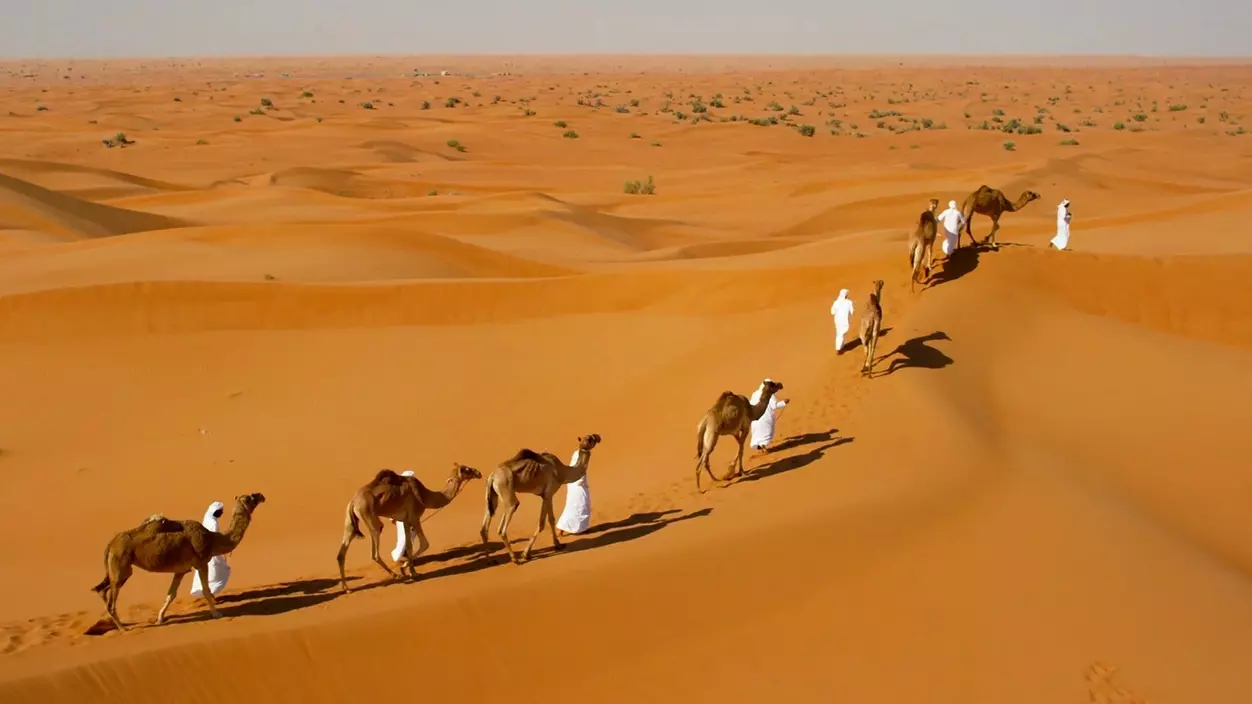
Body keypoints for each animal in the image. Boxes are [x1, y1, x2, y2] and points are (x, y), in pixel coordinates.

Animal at [92, 488, 269, 631]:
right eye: (251, 497)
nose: (261, 495)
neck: (213, 539)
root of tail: (111, 545)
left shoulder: (181, 570)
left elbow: (171, 594)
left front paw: (160, 618)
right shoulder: (201, 563)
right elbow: (205, 590)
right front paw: (216, 613)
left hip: (117, 568)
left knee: (102, 589)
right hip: (121, 566)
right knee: (111, 597)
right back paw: (123, 628)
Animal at [335, 460, 480, 591]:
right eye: (466, 469)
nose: (478, 472)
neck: (425, 496)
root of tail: (353, 502)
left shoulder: (405, 520)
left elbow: (409, 547)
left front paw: (413, 572)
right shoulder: (415, 518)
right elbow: (425, 544)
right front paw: (405, 568)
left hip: (350, 521)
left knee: (342, 552)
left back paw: (346, 588)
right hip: (370, 518)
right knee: (375, 552)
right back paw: (396, 575)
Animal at [478, 433, 600, 563]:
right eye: (591, 438)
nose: (598, 436)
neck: (562, 472)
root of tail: (492, 476)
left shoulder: (545, 496)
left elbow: (551, 519)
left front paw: (558, 544)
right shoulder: (548, 494)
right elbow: (543, 522)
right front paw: (526, 553)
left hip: (492, 495)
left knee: (484, 528)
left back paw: (490, 560)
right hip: (506, 490)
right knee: (503, 526)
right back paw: (515, 559)